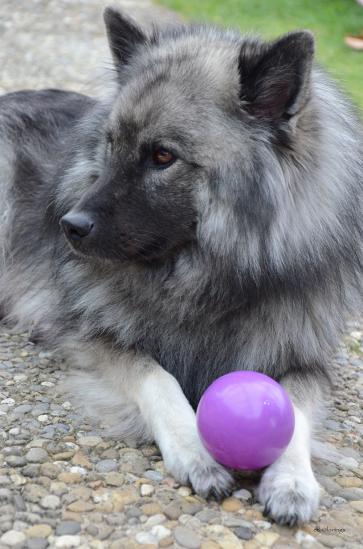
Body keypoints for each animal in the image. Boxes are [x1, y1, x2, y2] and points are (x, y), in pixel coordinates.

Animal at [0, 7, 363, 524]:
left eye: (162, 156)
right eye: (110, 144)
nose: (69, 225)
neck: (207, 280)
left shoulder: (303, 359)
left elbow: (294, 409)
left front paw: (293, 480)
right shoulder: (96, 339)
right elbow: (159, 378)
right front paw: (195, 448)